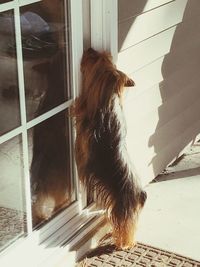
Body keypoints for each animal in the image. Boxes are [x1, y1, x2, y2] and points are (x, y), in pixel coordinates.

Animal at [72, 47, 147, 249]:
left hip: (123, 208)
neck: (108, 100)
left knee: (125, 226)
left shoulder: (86, 139)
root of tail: (140, 194)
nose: (89, 49)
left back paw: (124, 243)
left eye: (95, 58)